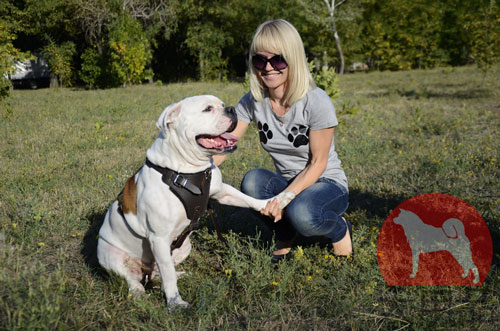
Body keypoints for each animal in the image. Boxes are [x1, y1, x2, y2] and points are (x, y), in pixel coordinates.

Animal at [95, 95, 294, 308]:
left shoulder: (221, 191)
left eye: (222, 105)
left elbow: (247, 200)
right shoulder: (159, 238)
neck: (187, 170)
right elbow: (167, 274)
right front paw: (175, 303)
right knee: (136, 278)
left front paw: (277, 201)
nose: (232, 109)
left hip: (183, 248)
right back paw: (140, 292)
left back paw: (180, 275)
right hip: (113, 256)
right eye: (207, 109)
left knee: (161, 273)